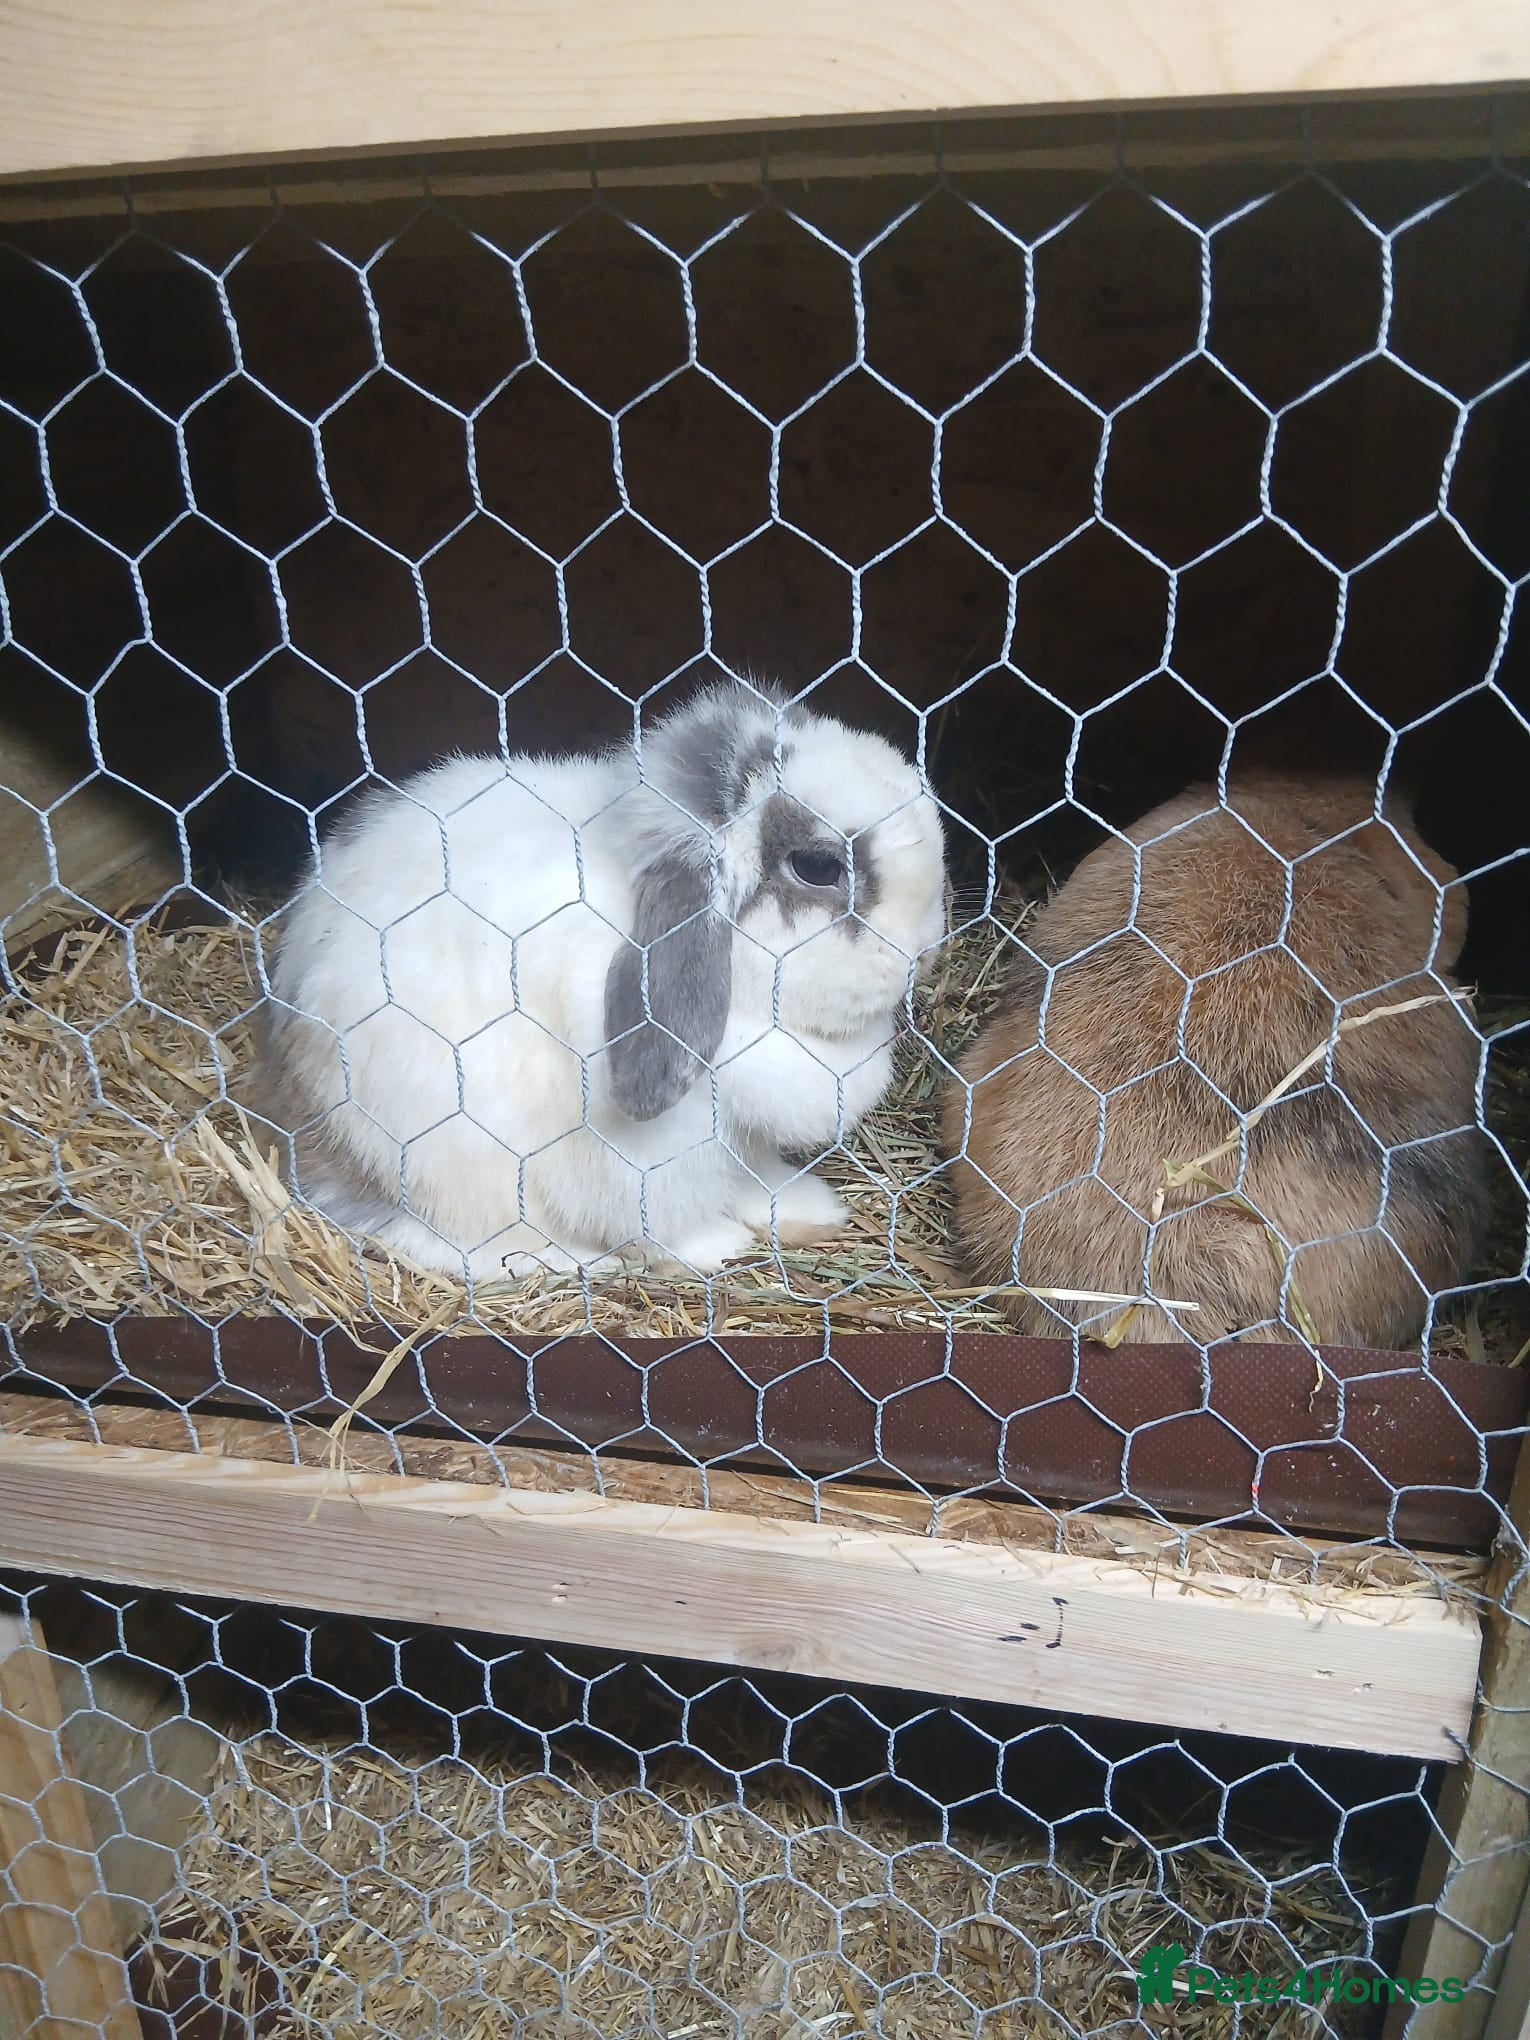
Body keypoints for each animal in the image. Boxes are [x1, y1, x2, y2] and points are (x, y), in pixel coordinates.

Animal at [255, 679, 948, 1283]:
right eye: (818, 867)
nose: (926, 950)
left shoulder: (739, 1140)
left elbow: (755, 1176)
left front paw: (806, 1209)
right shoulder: (647, 1155)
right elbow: (658, 1217)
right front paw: (712, 1246)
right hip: (445, 1158)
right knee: (442, 1241)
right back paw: (572, 1260)